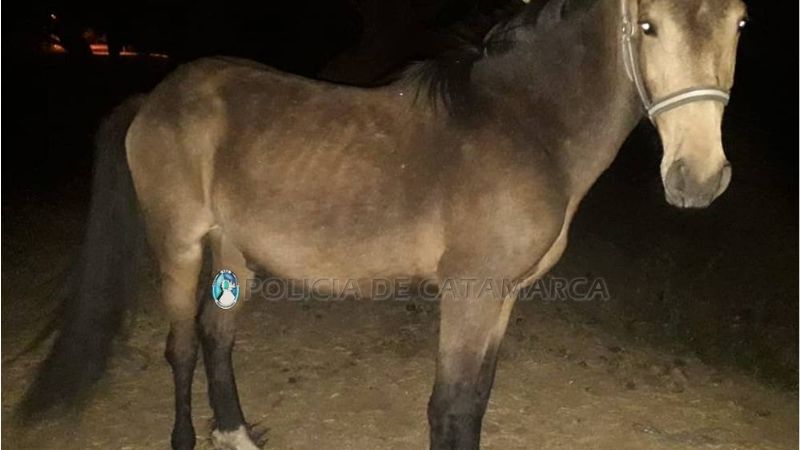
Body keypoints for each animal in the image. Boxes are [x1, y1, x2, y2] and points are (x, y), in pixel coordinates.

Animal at [20, 0, 748, 448]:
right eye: (648, 26)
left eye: (740, 23)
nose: (698, 177)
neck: (523, 124)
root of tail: (157, 95)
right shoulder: (470, 294)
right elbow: (449, 404)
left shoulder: (502, 298)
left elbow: (476, 398)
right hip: (178, 245)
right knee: (179, 348)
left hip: (234, 253)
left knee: (215, 338)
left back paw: (237, 434)